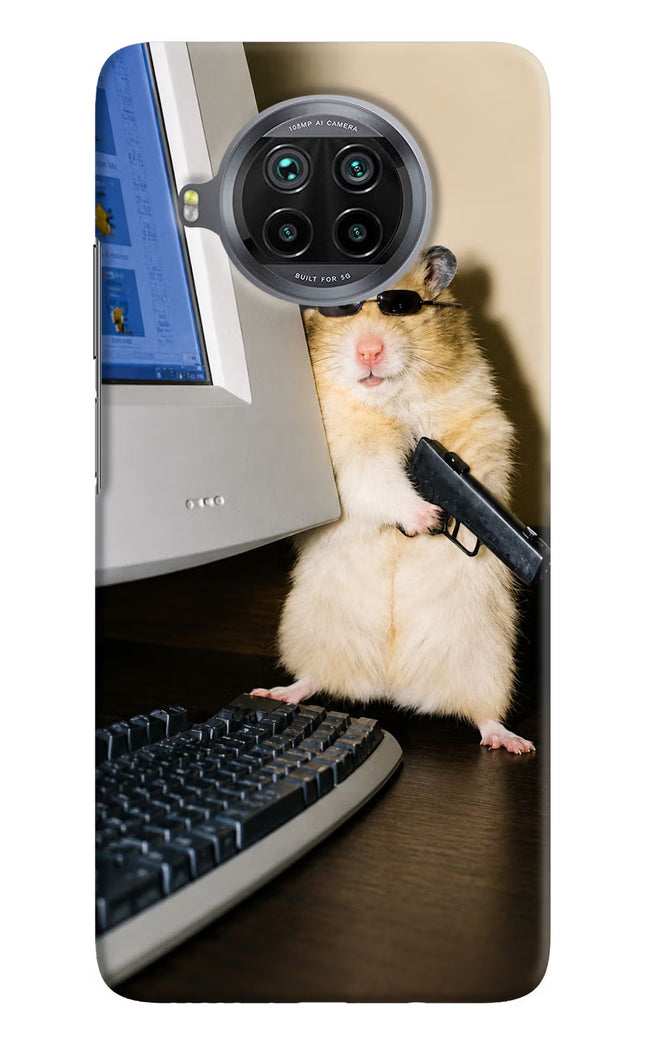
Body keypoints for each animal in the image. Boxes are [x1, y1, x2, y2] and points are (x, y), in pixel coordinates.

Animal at [252, 247, 534, 754]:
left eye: (401, 307)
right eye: (337, 312)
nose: (369, 351)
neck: (392, 400)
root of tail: (393, 686)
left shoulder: (482, 426)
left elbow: (479, 474)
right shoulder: (349, 456)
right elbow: (381, 482)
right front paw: (429, 517)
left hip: (489, 661)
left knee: (484, 714)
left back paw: (512, 742)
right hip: (310, 632)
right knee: (312, 679)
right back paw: (275, 692)